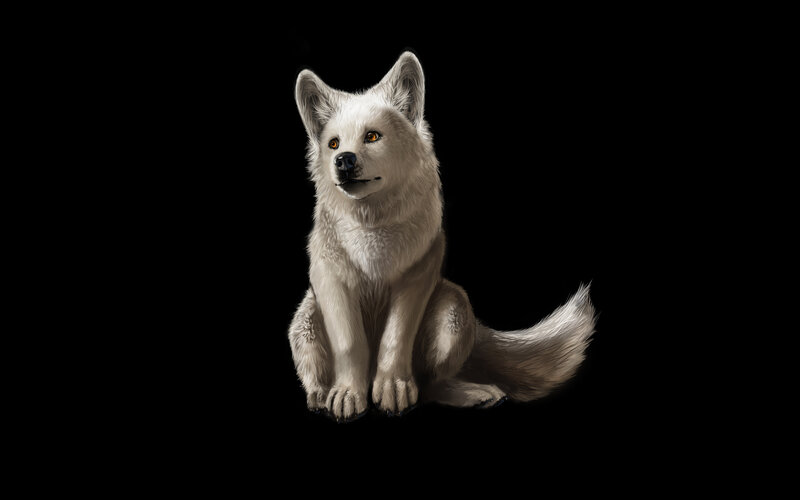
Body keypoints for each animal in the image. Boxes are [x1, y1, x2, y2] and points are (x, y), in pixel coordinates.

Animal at [289, 51, 596, 421]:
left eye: (372, 137)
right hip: (304, 320)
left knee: (432, 386)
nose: (343, 160)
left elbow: (395, 338)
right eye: (333, 143)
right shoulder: (331, 280)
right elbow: (350, 343)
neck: (371, 225)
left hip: (454, 305)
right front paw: (348, 393)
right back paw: (322, 396)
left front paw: (392, 388)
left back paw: (472, 393)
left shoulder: (415, 279)